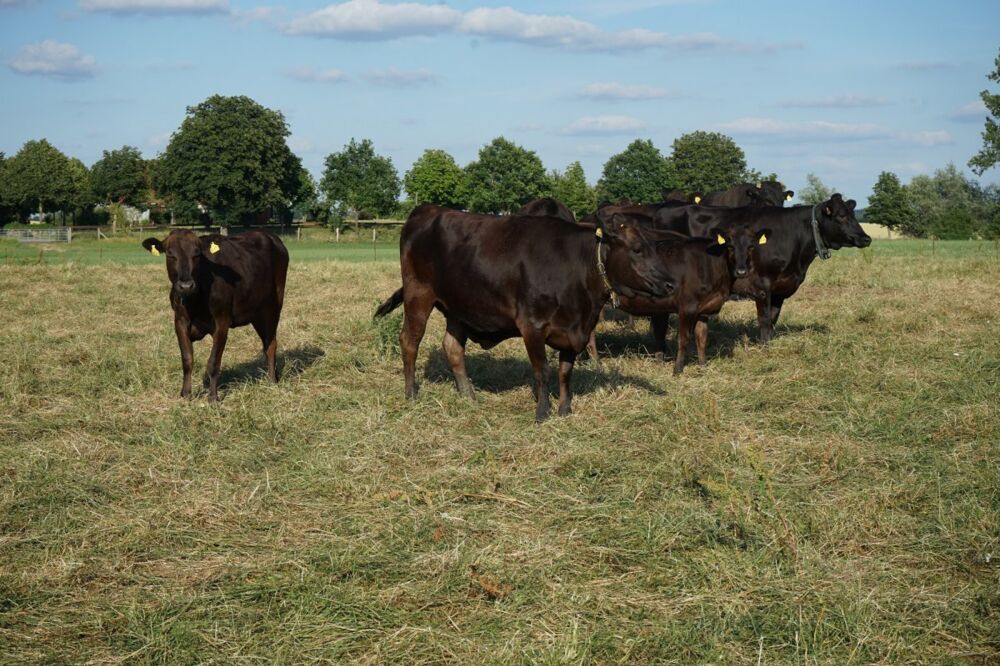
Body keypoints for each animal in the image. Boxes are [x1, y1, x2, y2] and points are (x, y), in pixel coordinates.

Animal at [374, 204, 672, 420]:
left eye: (654, 247)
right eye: (637, 249)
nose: (670, 283)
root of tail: (426, 210)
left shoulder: (574, 331)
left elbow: (565, 372)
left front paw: (565, 410)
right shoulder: (533, 326)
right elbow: (543, 371)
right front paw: (543, 412)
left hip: (459, 306)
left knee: (452, 348)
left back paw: (469, 395)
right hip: (418, 295)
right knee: (410, 341)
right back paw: (412, 394)